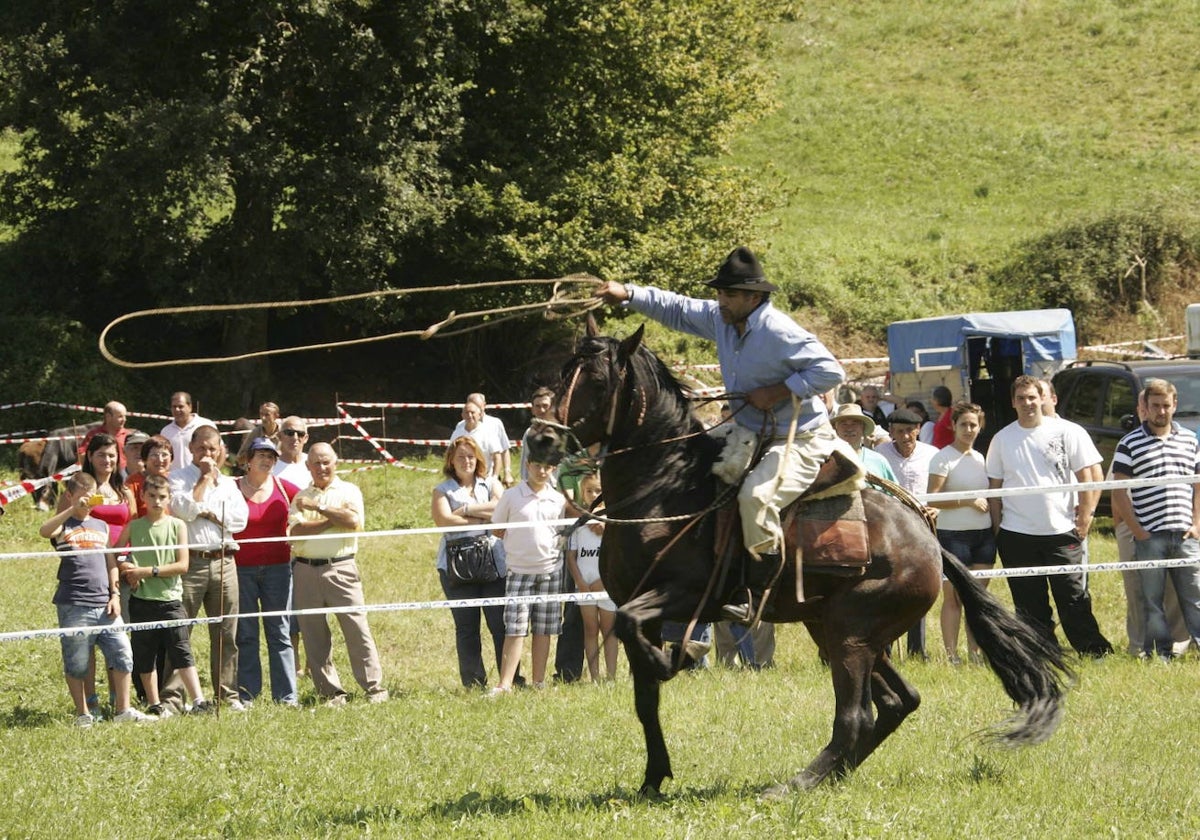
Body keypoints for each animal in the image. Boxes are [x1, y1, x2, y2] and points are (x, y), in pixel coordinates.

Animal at [549, 319, 1075, 796]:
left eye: (598, 382)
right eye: (563, 371)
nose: (542, 439)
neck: (665, 487)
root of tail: (929, 542)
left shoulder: (682, 594)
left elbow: (640, 643)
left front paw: (680, 655)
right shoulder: (641, 605)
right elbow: (645, 695)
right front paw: (652, 778)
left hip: (851, 635)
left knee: (857, 713)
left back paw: (797, 784)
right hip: (840, 630)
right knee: (898, 701)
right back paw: (828, 777)